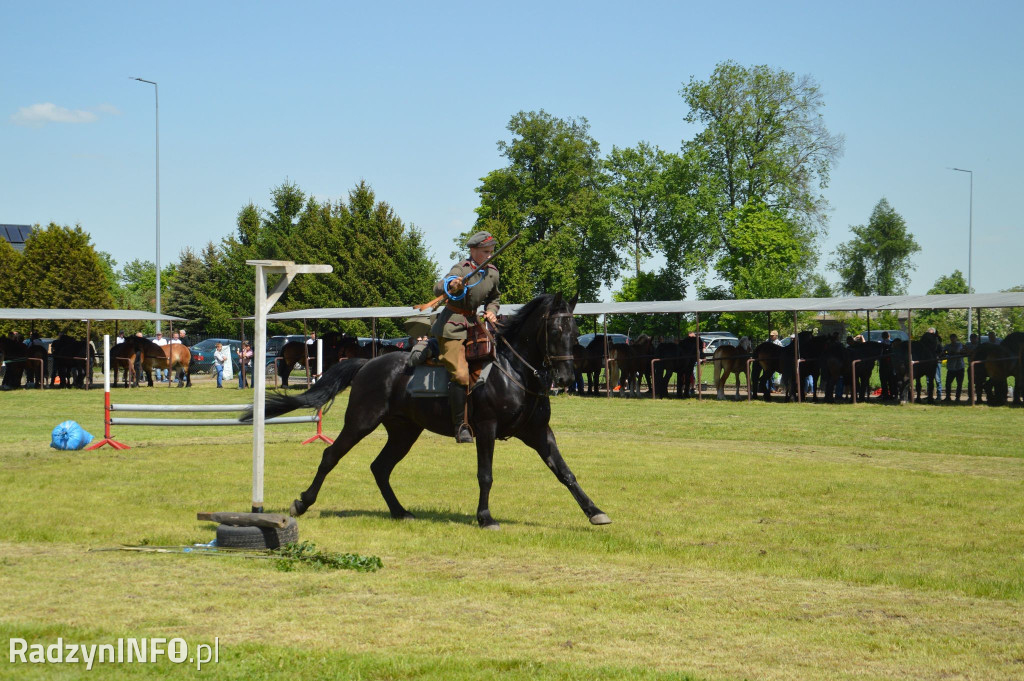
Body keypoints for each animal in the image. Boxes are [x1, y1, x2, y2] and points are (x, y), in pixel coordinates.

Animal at [245, 293, 610, 529]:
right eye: (555, 330)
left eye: (576, 332)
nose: (565, 379)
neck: (515, 370)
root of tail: (367, 363)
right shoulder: (487, 429)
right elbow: (486, 474)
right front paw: (485, 518)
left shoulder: (538, 432)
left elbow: (565, 472)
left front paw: (595, 511)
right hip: (361, 422)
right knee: (331, 456)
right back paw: (302, 502)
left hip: (404, 432)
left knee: (380, 467)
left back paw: (400, 512)